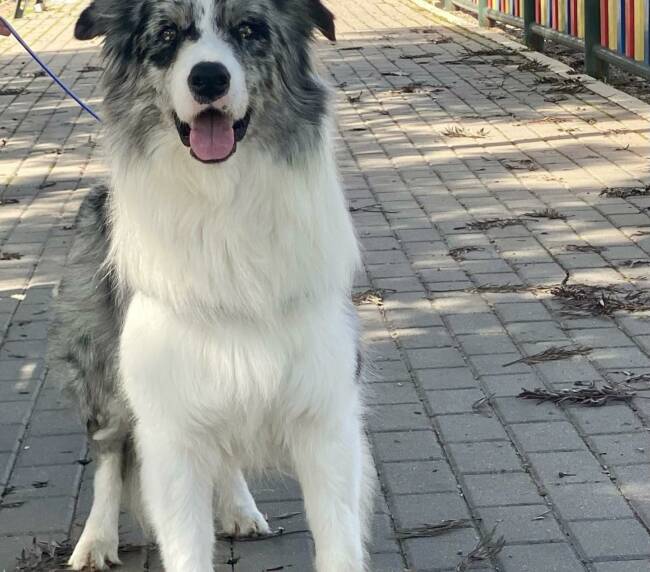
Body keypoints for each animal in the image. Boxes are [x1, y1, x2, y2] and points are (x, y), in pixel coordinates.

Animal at [50, 2, 372, 568]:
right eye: (167, 35)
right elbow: (183, 542)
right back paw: (96, 539)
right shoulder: (169, 424)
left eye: (249, 29)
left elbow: (339, 541)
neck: (222, 199)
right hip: (103, 373)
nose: (207, 78)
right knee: (109, 456)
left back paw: (240, 509)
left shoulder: (326, 414)